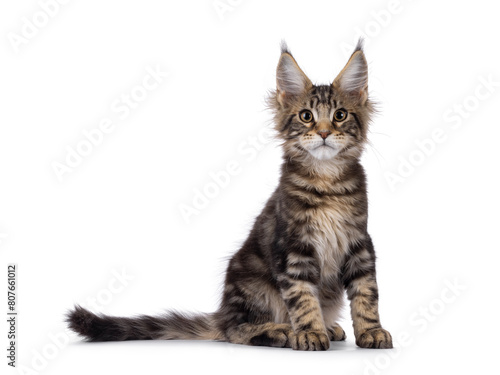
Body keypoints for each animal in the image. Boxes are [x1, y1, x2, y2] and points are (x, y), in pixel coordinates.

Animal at [67, 41, 394, 352]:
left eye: (340, 115)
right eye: (306, 116)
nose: (324, 132)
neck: (327, 183)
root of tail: (222, 312)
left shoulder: (360, 243)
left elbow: (366, 294)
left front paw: (371, 332)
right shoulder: (293, 249)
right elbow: (303, 299)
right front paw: (310, 332)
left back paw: (329, 327)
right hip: (252, 284)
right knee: (236, 331)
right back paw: (281, 331)